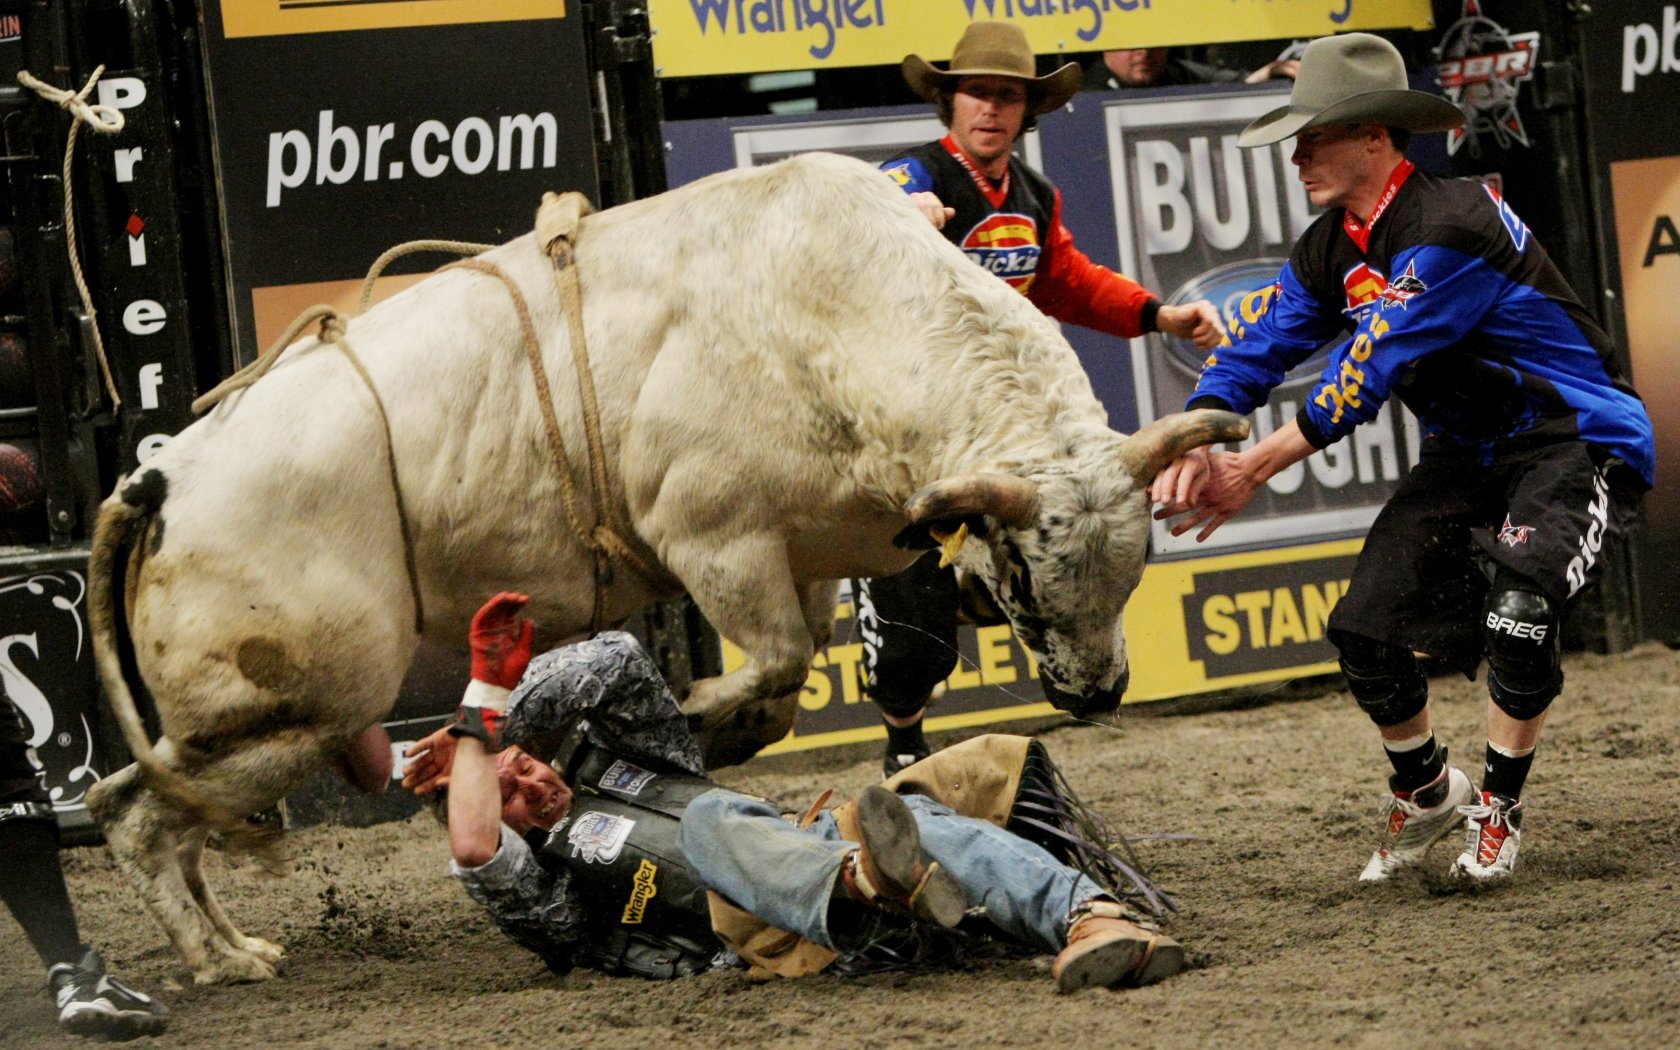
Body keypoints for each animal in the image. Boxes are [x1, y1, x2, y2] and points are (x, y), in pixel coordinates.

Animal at [85, 149, 1243, 981]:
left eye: (1132, 569)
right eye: (1031, 577)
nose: (1095, 695)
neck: (825, 319)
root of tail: (160, 479)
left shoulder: (798, 552)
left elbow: (791, 667)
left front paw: (702, 730)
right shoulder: (713, 537)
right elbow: (773, 665)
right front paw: (698, 717)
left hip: (243, 725)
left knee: (137, 806)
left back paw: (232, 946)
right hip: (300, 705)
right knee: (140, 819)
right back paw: (220, 963)